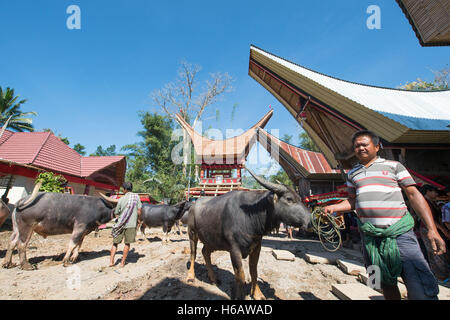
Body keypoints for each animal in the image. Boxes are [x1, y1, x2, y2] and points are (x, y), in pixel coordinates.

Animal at [185, 168, 312, 300]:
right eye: (289, 199)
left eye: (300, 198)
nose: (310, 221)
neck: (250, 217)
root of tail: (193, 205)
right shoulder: (234, 250)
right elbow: (240, 275)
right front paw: (239, 295)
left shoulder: (256, 248)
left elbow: (254, 272)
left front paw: (257, 294)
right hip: (192, 233)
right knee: (193, 253)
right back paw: (190, 277)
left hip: (212, 240)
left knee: (205, 252)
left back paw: (213, 278)